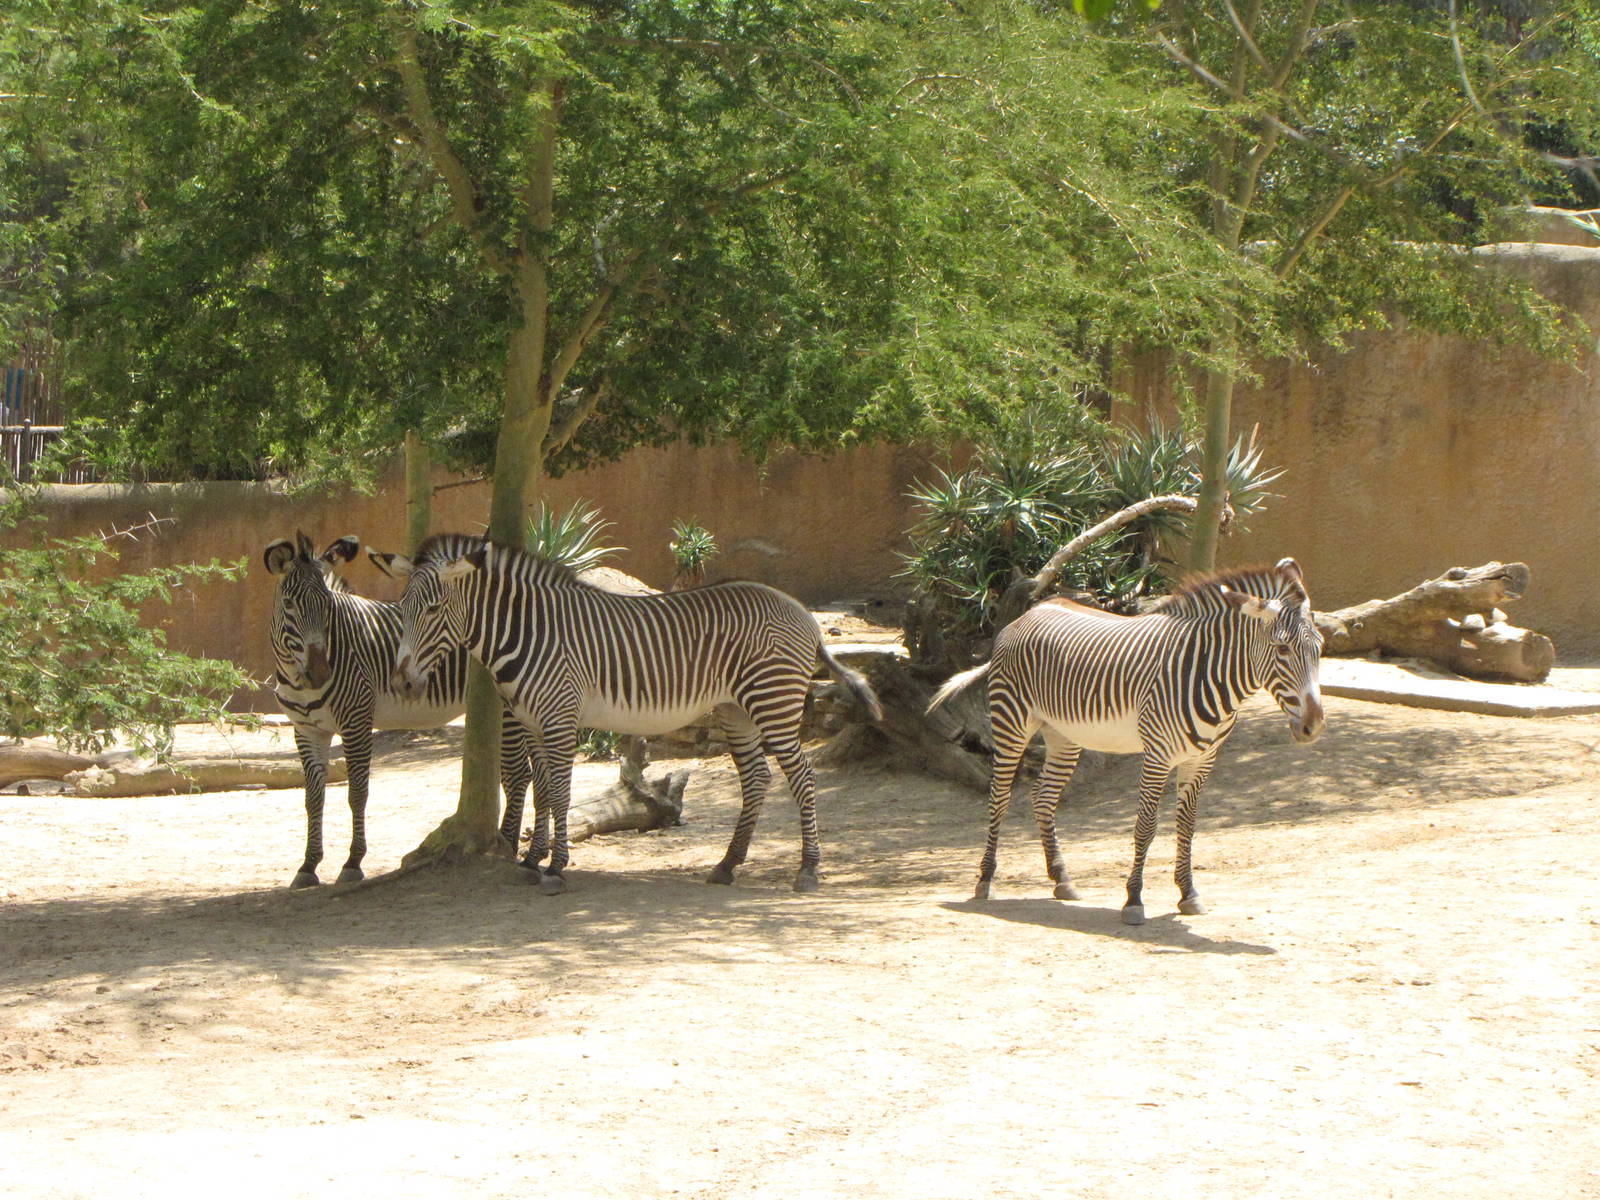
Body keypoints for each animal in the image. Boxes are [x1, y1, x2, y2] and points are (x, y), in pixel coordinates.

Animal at [264, 531, 537, 888]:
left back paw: (508, 847)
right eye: (289, 605)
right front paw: (308, 866)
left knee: (519, 774)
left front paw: (353, 862)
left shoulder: (356, 721)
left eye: (327, 605)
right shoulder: (307, 729)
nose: (320, 673)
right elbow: (313, 799)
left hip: (512, 706)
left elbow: (358, 793)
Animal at [368, 533, 884, 895]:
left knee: (802, 776)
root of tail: (800, 611)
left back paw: (809, 869)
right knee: (757, 778)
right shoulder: (533, 722)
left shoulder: (559, 716)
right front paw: (532, 862)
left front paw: (556, 868)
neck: (528, 630)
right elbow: (540, 791)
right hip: (735, 709)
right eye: (402, 608)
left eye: (435, 608)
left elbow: (560, 793)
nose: (403, 683)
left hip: (773, 700)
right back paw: (727, 865)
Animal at [929, 557, 1324, 924]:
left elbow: (1187, 825)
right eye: (1282, 649)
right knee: (999, 797)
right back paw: (985, 879)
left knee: (1043, 796)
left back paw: (1062, 878)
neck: (1208, 672)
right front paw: (1134, 900)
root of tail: (1027, 614)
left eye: (1319, 648)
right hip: (1011, 721)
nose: (1313, 726)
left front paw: (1189, 894)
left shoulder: (1202, 758)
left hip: (1063, 734)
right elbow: (1146, 827)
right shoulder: (1158, 755)